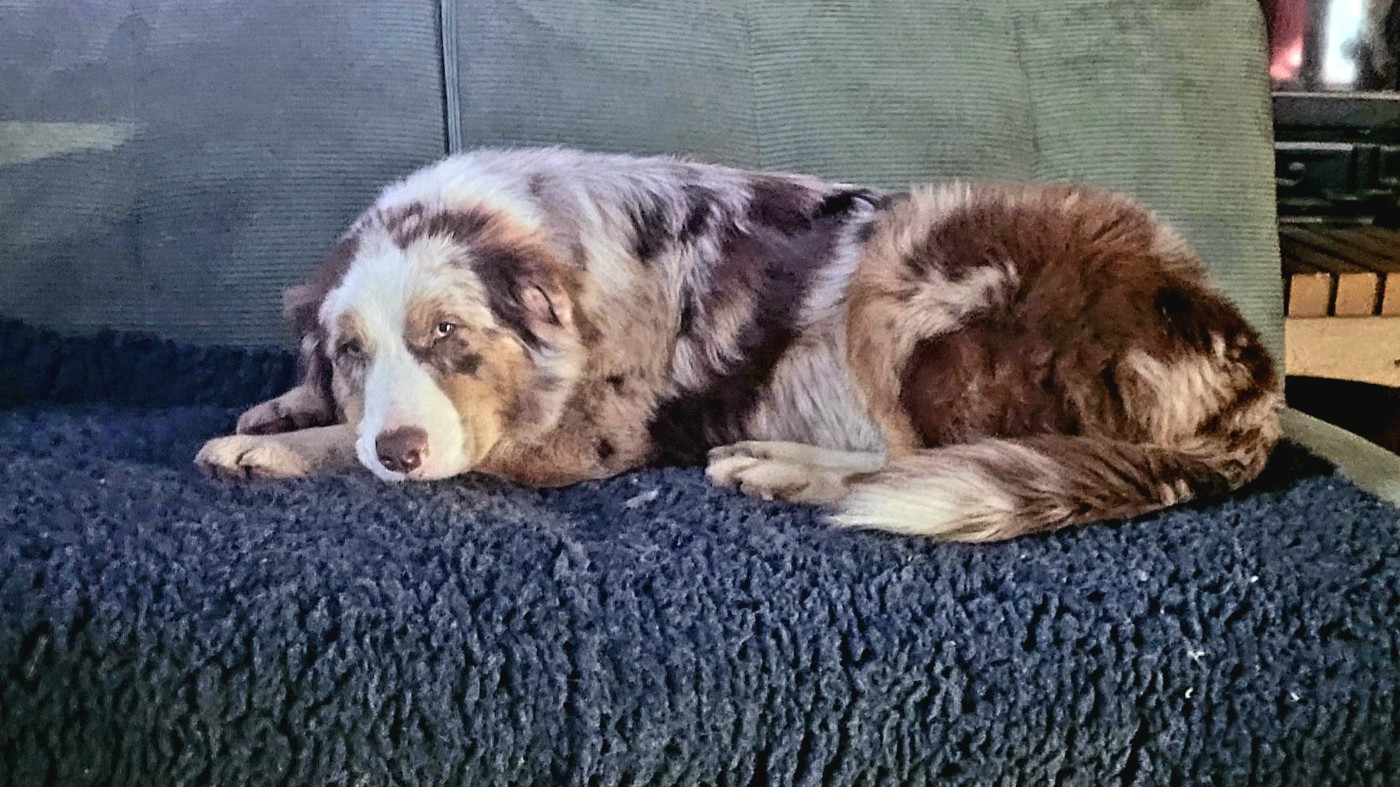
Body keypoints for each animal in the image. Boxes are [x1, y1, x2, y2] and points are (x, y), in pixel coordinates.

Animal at [196, 147, 1280, 542]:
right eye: (350, 351)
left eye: (447, 334)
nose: (403, 450)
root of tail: (1248, 363)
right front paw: (285, 407)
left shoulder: (575, 443)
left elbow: (375, 450)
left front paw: (267, 447)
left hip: (909, 257)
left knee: (923, 460)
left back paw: (777, 465)